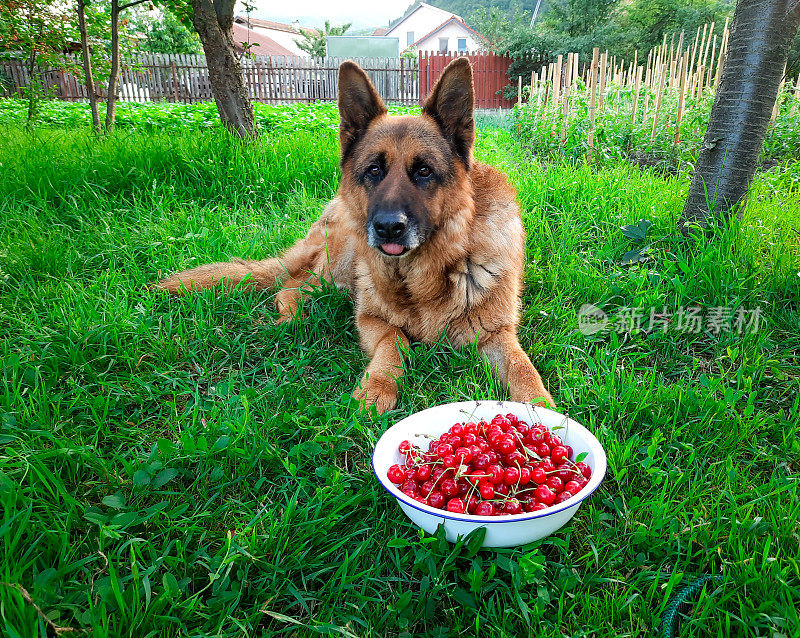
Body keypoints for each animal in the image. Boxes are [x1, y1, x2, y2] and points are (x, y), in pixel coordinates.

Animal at [159, 58, 552, 416]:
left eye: (424, 171)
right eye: (374, 170)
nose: (388, 227)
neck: (427, 273)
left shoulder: (498, 335)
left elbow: (523, 369)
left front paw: (543, 410)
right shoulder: (370, 320)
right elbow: (395, 340)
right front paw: (378, 386)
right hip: (342, 259)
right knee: (291, 286)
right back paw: (290, 319)